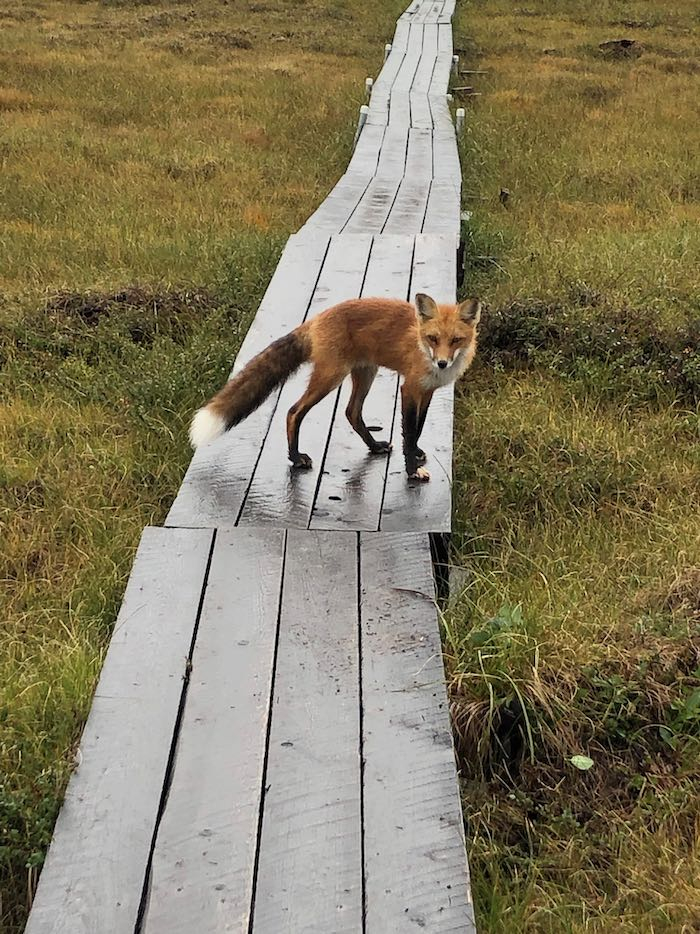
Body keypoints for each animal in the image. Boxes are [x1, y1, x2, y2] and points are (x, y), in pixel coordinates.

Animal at [189, 292, 478, 482]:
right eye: (433, 338)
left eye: (455, 340)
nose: (442, 363)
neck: (422, 348)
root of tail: (318, 317)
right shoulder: (409, 389)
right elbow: (408, 432)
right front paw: (412, 469)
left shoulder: (427, 391)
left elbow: (417, 428)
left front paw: (416, 453)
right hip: (331, 378)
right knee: (294, 411)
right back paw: (295, 457)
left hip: (365, 373)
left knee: (351, 412)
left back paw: (374, 446)